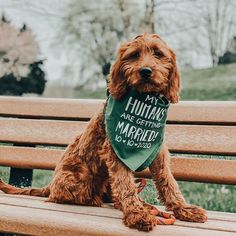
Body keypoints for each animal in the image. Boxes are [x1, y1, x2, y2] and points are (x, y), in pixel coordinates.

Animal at [0, 34, 206, 231]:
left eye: (158, 53)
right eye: (134, 55)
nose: (145, 71)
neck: (142, 102)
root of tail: (49, 187)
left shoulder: (157, 152)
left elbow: (168, 182)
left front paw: (183, 209)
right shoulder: (114, 153)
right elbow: (125, 186)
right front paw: (136, 214)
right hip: (80, 177)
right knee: (73, 196)